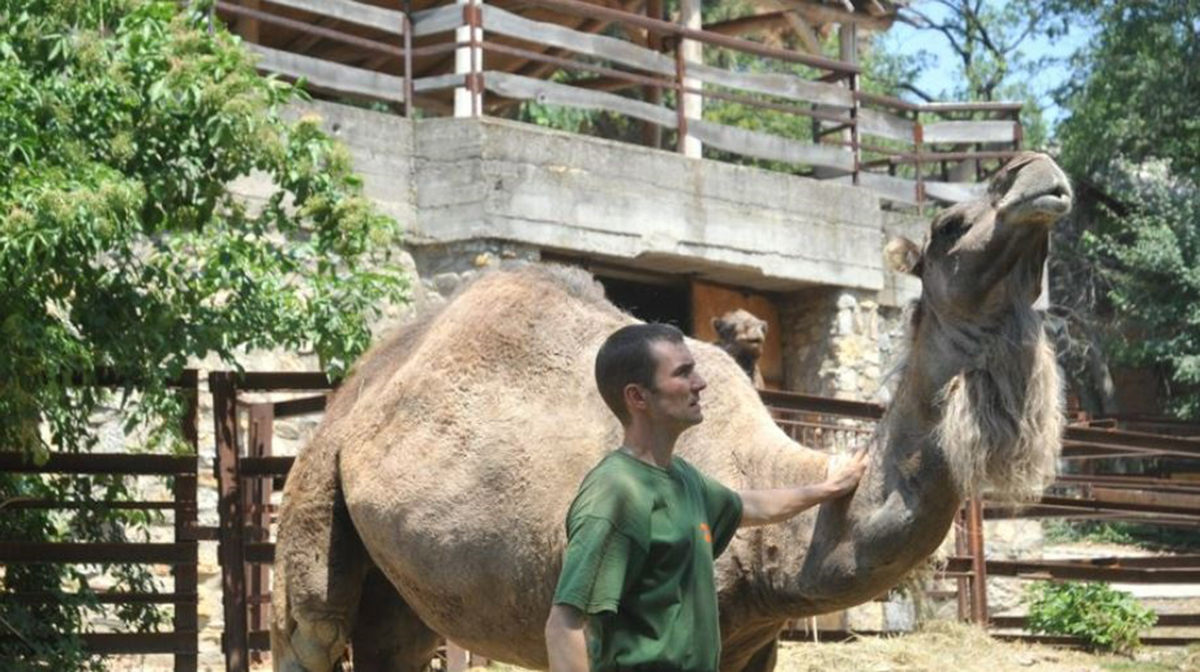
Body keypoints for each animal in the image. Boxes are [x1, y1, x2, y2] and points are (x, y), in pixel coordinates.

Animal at [274, 152, 1080, 672]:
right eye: (949, 225)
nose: (1038, 170)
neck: (778, 554)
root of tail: (352, 392)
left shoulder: (756, 644)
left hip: (399, 572)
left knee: (396, 642)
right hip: (314, 500)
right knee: (309, 629)